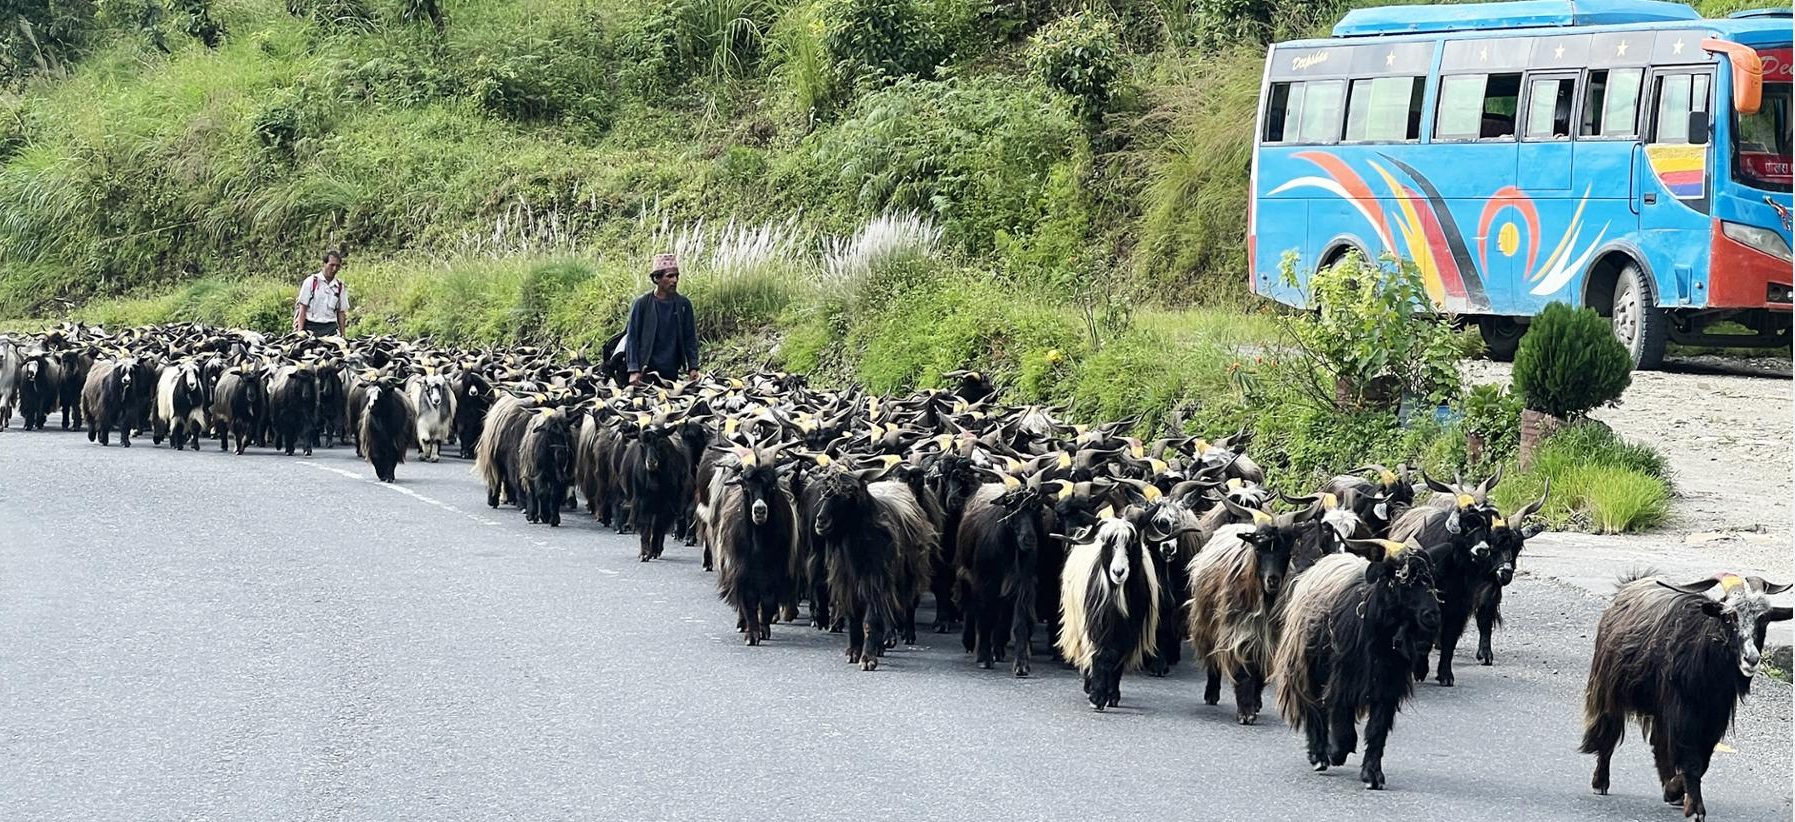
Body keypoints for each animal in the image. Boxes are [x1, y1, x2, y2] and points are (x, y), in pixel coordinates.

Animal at [1278, 545, 1443, 789]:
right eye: (1404, 583)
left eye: (1430, 580)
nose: (1433, 615)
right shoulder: (1343, 680)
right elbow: (1344, 728)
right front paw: (1335, 753)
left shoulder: (1387, 687)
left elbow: (1376, 730)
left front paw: (1372, 775)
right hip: (1308, 667)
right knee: (1315, 709)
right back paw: (1319, 755)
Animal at [1579, 570, 1787, 822]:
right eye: (1729, 618)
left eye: (1763, 618)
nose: (1752, 659)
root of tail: (1629, 585)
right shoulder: (1682, 712)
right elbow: (1691, 760)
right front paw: (1694, 807)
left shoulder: (1711, 720)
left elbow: (1701, 761)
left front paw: (1675, 790)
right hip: (1608, 687)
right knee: (1608, 731)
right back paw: (1600, 781)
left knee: (1659, 744)